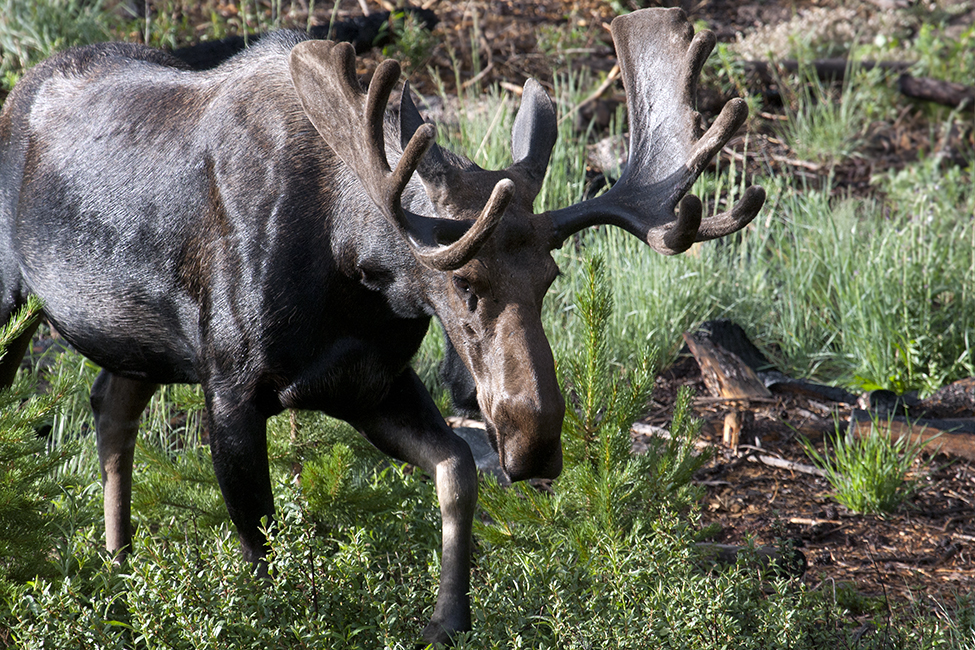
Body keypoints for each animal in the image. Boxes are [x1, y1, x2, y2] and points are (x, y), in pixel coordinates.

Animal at [0, 6, 764, 644]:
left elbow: (457, 469)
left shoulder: (368, 385)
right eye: (462, 283)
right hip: (15, 300)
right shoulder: (231, 389)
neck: (354, 273)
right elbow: (261, 549)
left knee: (111, 404)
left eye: (550, 279)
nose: (534, 441)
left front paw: (447, 619)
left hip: (137, 342)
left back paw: (119, 574)